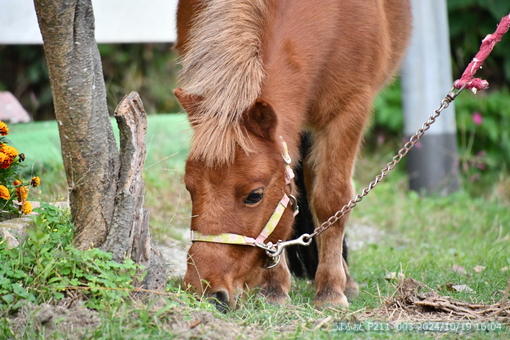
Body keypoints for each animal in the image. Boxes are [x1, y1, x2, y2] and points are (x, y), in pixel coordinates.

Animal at [173, 0, 412, 310]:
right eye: (189, 187)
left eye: (255, 195)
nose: (203, 289)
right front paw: (275, 288)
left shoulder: (348, 111)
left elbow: (333, 199)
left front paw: (330, 291)